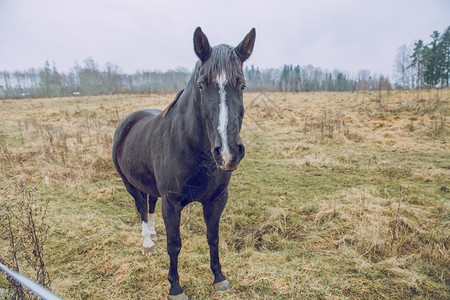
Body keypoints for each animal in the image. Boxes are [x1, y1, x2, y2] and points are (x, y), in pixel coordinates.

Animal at [111, 27, 255, 298]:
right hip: (129, 184)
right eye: (201, 85)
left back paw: (153, 232)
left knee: (150, 203)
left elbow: (213, 238)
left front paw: (219, 277)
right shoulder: (172, 202)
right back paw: (147, 242)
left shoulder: (217, 199)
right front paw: (175, 287)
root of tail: (129, 121)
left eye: (242, 85)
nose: (228, 152)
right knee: (141, 207)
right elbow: (174, 244)